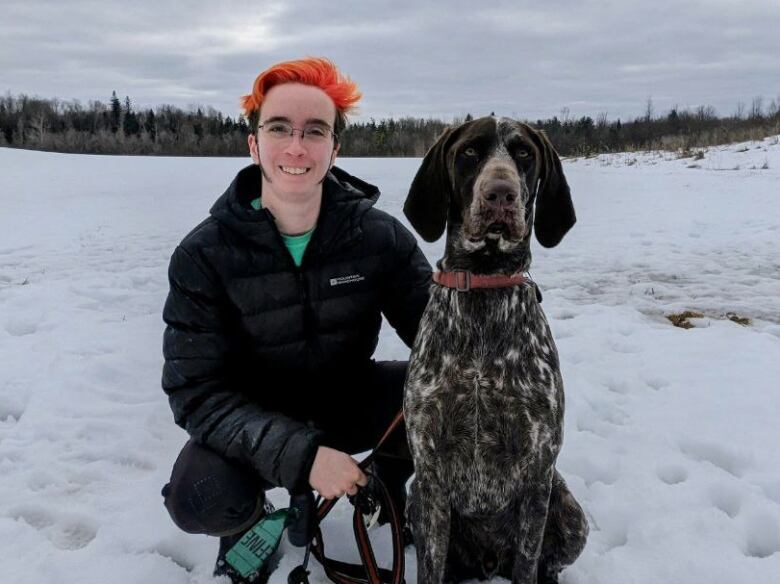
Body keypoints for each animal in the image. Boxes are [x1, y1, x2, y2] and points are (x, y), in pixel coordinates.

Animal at [402, 116, 592, 580]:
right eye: (470, 151)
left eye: (524, 152)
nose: (500, 193)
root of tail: (488, 563)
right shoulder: (429, 470)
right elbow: (429, 567)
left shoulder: (538, 470)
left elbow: (528, 562)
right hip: (415, 497)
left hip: (570, 510)